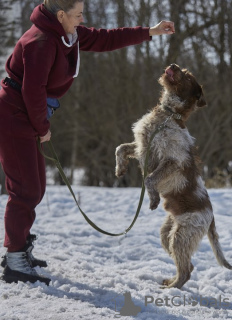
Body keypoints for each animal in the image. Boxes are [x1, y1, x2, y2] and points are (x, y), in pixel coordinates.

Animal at [114, 63, 232, 288]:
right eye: (183, 70)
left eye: (188, 76)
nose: (173, 65)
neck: (168, 115)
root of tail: (211, 217)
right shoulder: (142, 148)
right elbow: (121, 148)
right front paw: (120, 169)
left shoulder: (171, 161)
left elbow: (150, 179)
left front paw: (153, 199)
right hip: (167, 233)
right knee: (188, 265)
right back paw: (170, 281)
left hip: (181, 236)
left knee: (186, 270)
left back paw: (171, 289)